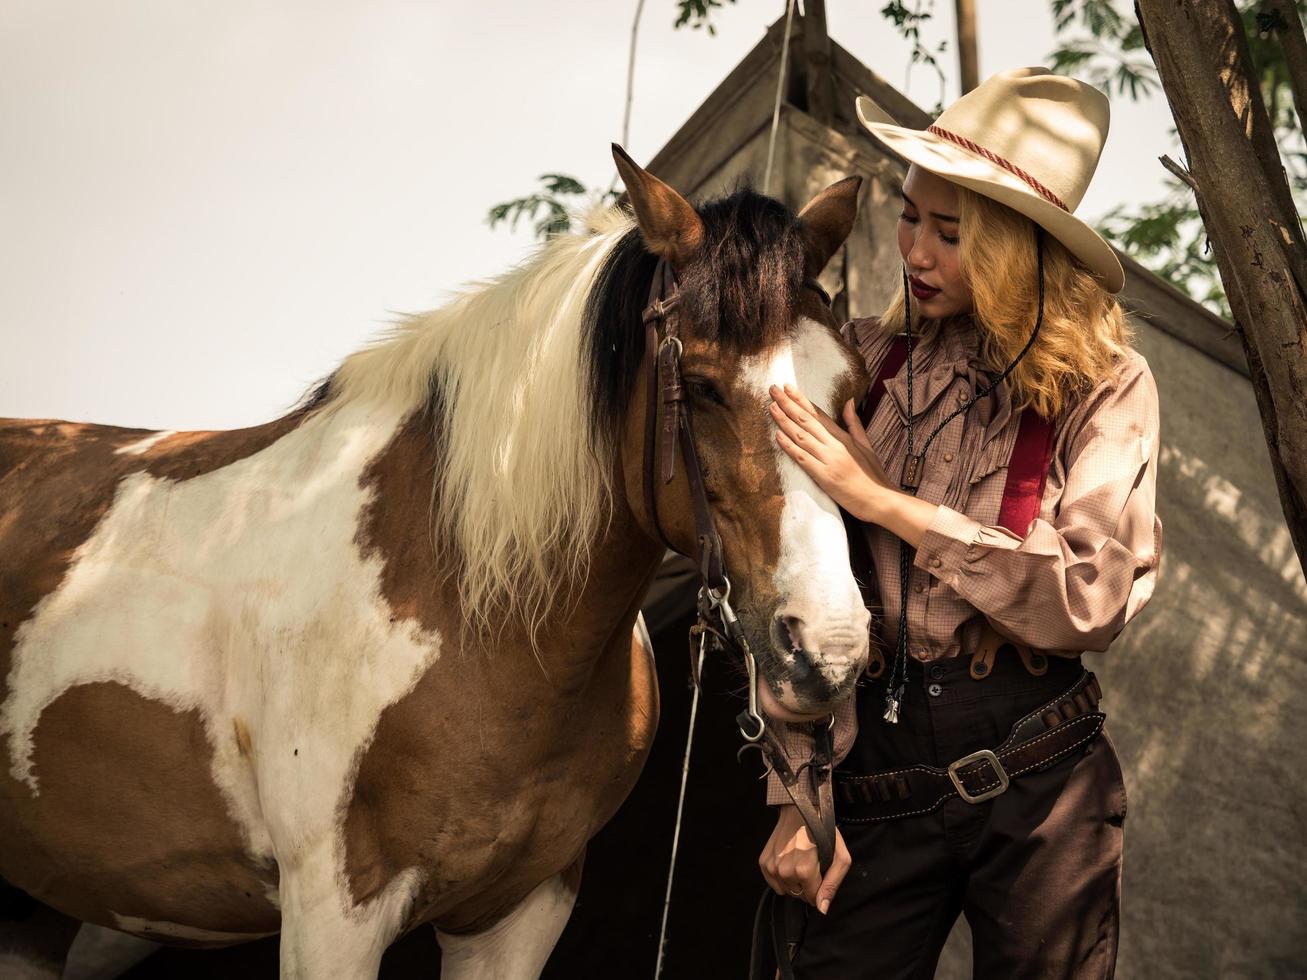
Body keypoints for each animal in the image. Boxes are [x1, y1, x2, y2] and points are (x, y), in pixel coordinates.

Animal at [2, 149, 878, 977]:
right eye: (698, 384)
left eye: (850, 390)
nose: (827, 649)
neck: (463, 602)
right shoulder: (333, 917)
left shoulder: (518, 915)